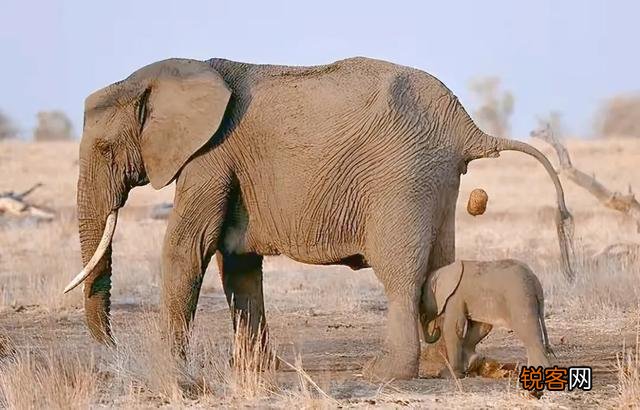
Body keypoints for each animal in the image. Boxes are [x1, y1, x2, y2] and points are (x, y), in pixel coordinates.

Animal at [421, 259, 554, 378]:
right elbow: (481, 327)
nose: (436, 328)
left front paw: (449, 375)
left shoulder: (455, 297)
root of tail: (536, 282)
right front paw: (471, 364)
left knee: (528, 333)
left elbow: (453, 329)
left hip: (520, 299)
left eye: (422, 298)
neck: (444, 270)